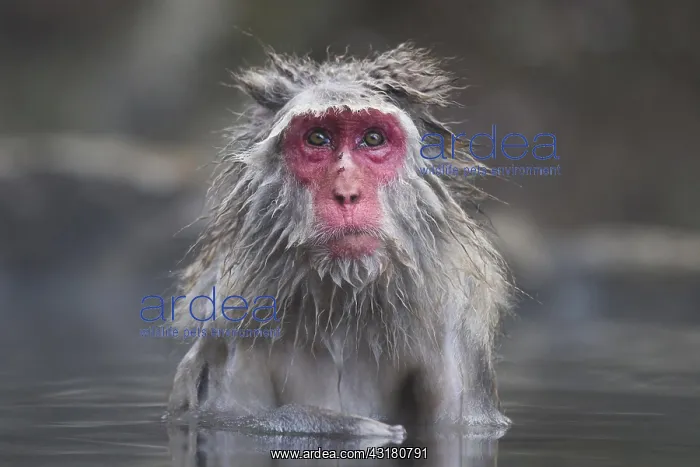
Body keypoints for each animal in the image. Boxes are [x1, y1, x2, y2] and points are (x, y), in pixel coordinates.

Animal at [166, 43, 512, 441]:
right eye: (318, 138)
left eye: (373, 139)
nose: (347, 193)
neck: (345, 308)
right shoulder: (234, 328)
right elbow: (224, 422)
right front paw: (350, 426)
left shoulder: (456, 333)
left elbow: (464, 428)